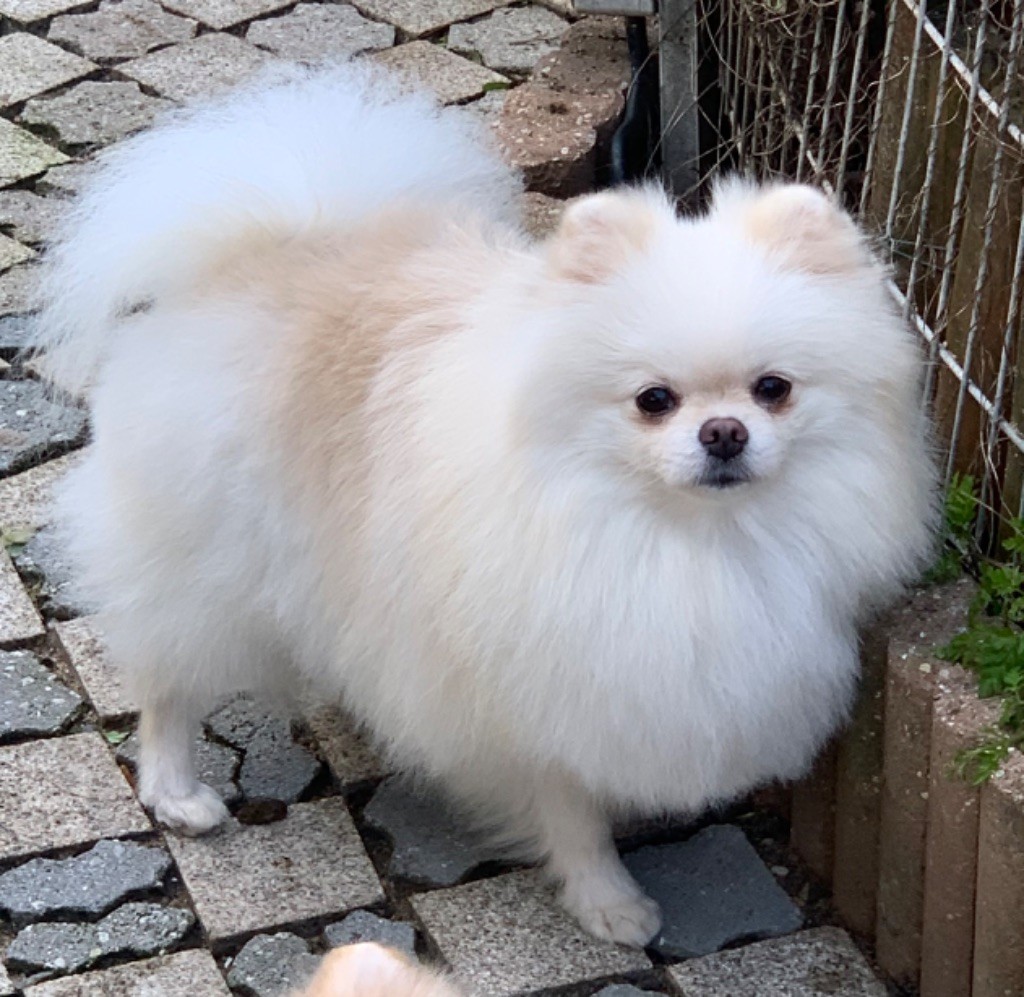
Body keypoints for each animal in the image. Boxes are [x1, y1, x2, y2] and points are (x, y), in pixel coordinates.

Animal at [33, 63, 937, 947]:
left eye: (773, 388)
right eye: (653, 400)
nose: (723, 432)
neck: (677, 536)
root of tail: (267, 243)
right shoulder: (527, 687)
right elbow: (571, 810)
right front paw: (608, 900)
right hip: (202, 552)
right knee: (169, 679)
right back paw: (177, 790)